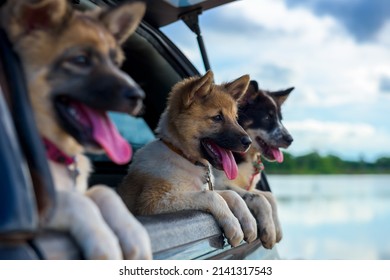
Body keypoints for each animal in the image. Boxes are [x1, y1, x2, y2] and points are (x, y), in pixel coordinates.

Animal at [0, 0, 152, 260]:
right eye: (80, 60)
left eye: (116, 63)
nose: (139, 97)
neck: (55, 152)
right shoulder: (41, 209)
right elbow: (75, 201)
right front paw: (105, 243)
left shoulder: (88, 189)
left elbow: (103, 191)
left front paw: (135, 234)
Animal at [118, 71, 258, 248]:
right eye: (217, 117)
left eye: (235, 117)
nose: (248, 142)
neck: (183, 156)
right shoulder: (152, 202)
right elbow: (212, 196)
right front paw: (233, 225)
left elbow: (231, 194)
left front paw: (249, 222)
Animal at [213, 80, 292, 248]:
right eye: (267, 118)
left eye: (280, 119)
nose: (290, 139)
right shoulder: (219, 183)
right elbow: (260, 198)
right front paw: (269, 231)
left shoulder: (248, 186)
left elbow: (270, 196)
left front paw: (276, 227)